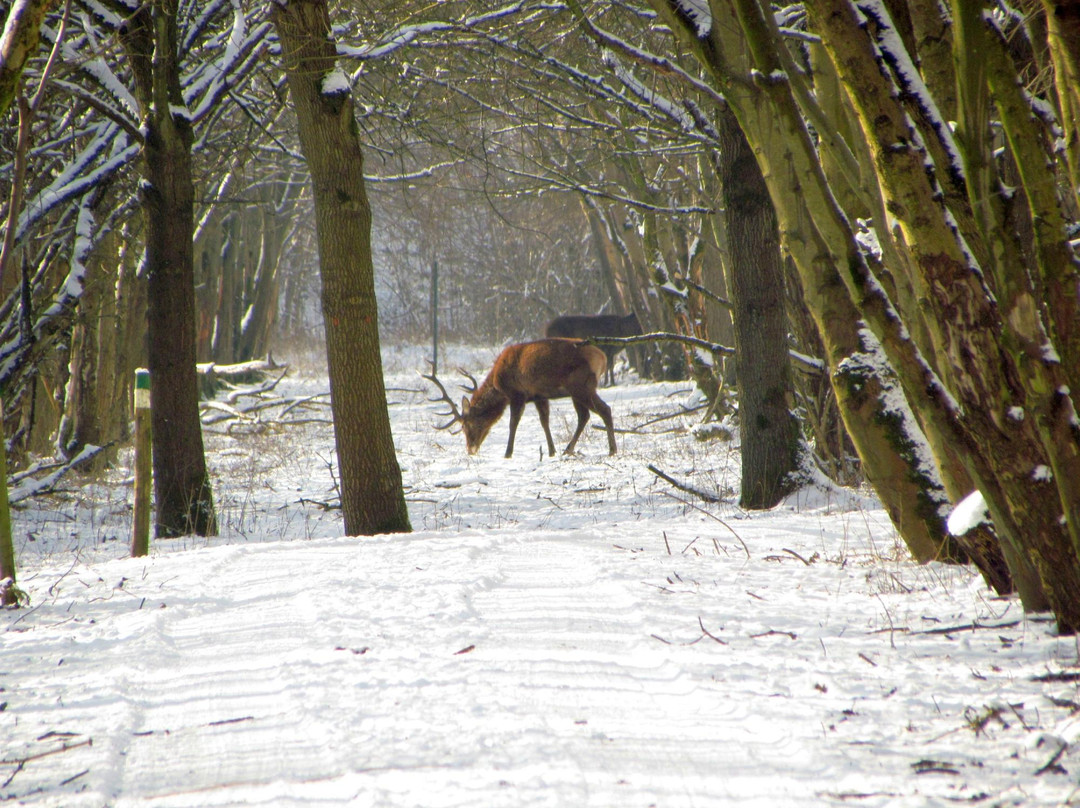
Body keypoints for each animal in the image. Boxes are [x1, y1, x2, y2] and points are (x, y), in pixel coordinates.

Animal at [425, 337, 622, 458]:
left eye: (467, 425)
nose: (470, 449)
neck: (499, 385)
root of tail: (602, 357)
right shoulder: (539, 395)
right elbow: (544, 421)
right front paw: (551, 451)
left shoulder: (517, 394)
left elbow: (513, 423)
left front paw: (507, 453)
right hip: (577, 391)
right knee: (584, 416)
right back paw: (568, 449)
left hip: (581, 386)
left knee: (604, 409)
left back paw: (612, 450)